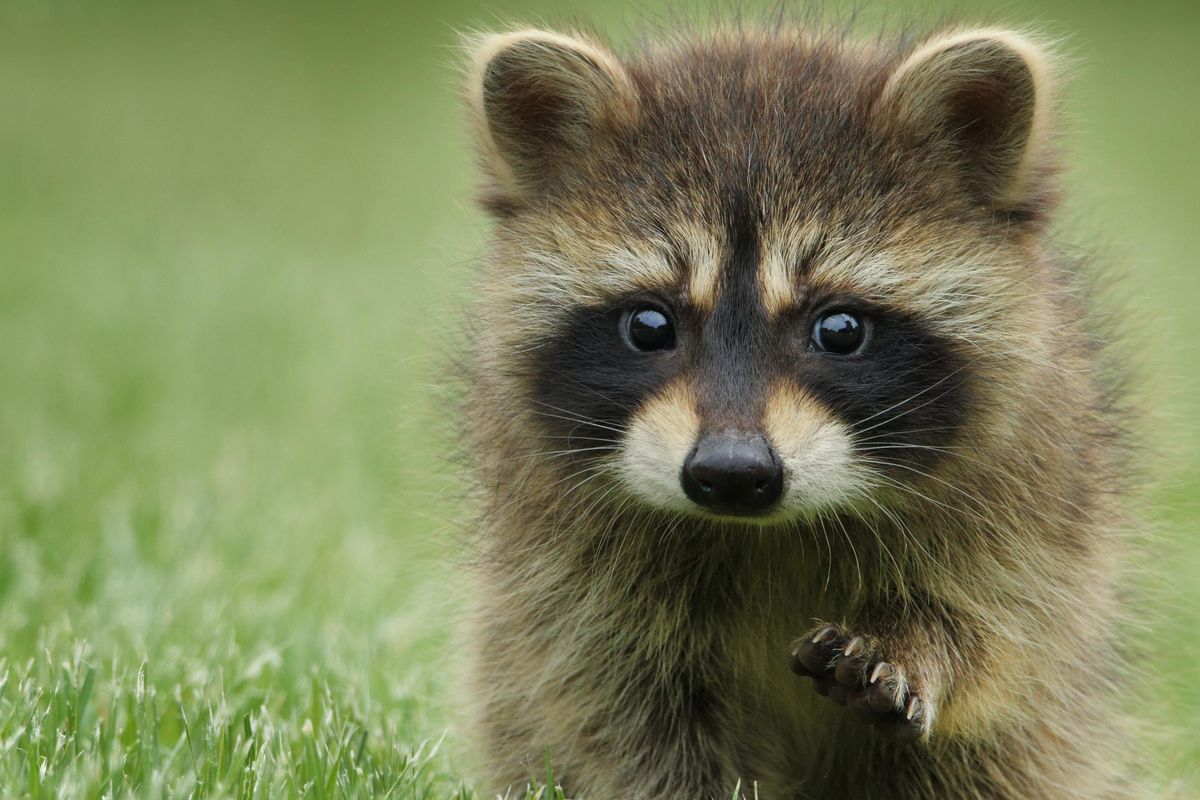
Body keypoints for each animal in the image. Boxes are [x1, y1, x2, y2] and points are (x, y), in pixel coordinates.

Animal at [458, 18, 1137, 800]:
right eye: (649, 326)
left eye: (839, 330)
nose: (731, 472)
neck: (765, 531)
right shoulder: (563, 567)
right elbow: (622, 711)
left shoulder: (1032, 496)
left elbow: (1001, 631)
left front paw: (918, 642)